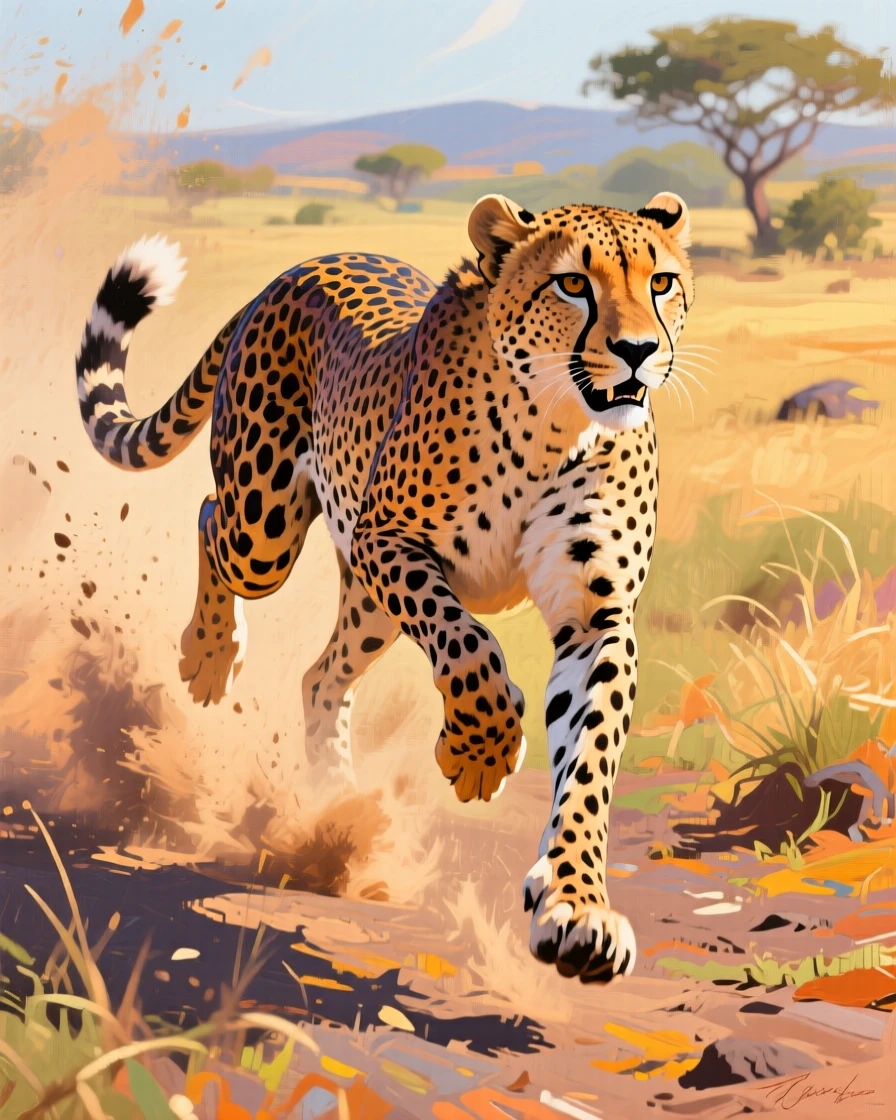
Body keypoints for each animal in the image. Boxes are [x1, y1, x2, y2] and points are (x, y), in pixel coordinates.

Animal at [74, 191, 694, 982]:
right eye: (573, 284)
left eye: (661, 282)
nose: (639, 350)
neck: (556, 423)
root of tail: (299, 266)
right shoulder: (388, 540)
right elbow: (468, 646)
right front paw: (481, 753)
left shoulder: (597, 617)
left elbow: (588, 760)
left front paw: (576, 908)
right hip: (266, 528)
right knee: (212, 518)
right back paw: (209, 656)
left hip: (367, 605)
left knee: (320, 675)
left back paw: (338, 810)